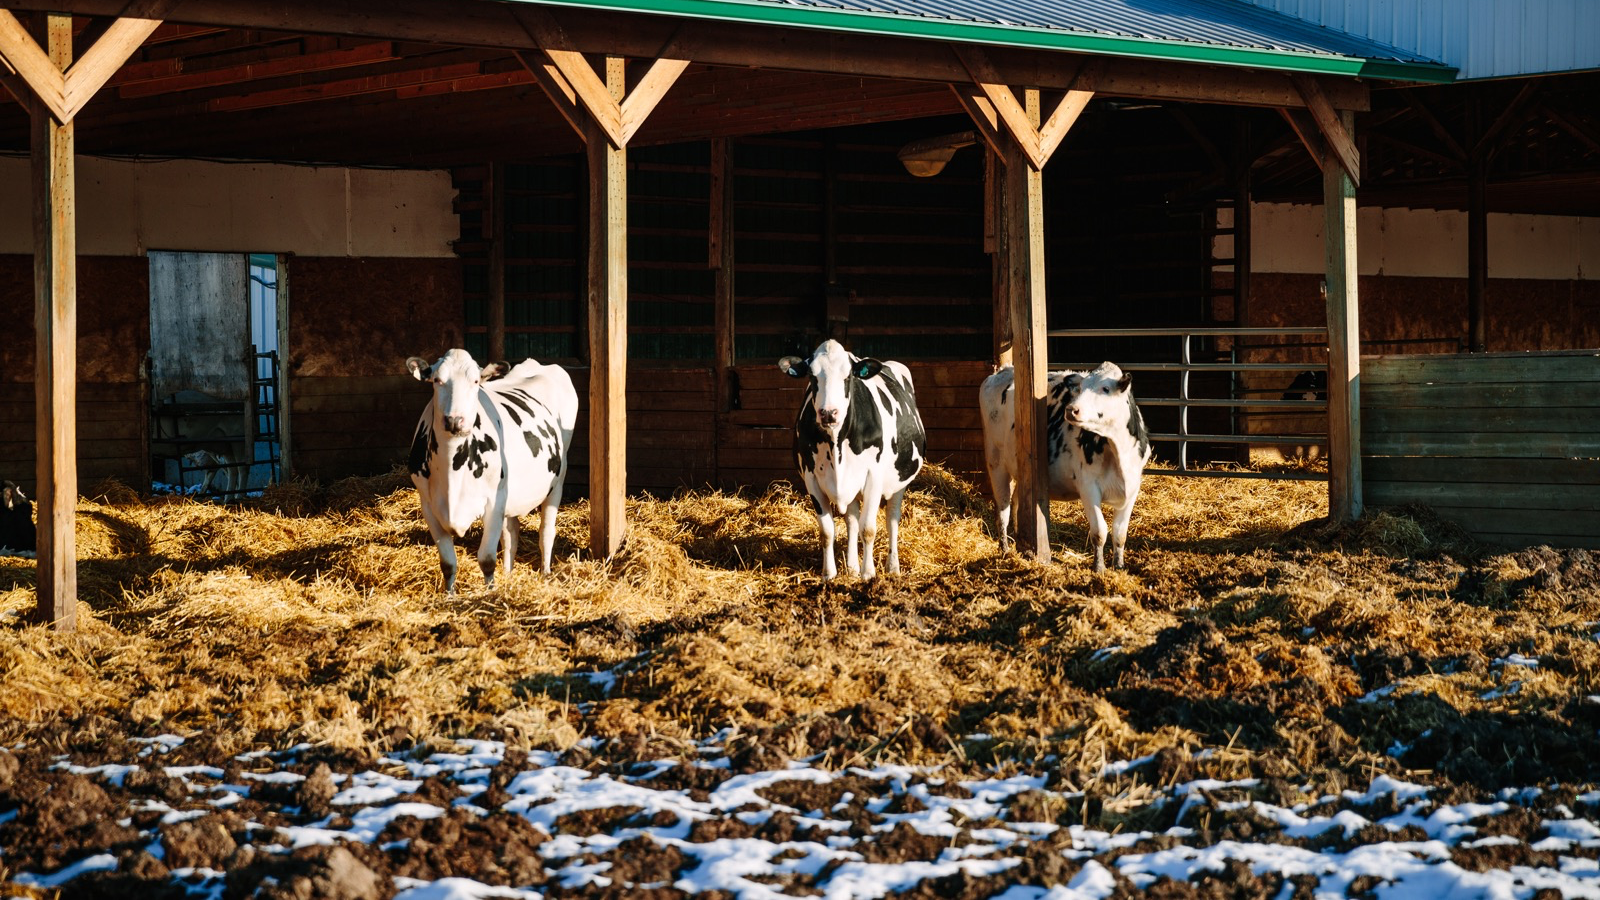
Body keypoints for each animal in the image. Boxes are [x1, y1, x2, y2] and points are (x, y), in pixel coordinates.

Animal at [409, 349, 579, 589]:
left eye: (475, 381)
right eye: (437, 380)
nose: (455, 420)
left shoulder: (494, 502)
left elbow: (487, 559)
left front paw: (490, 592)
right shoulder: (429, 506)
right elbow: (448, 564)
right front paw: (449, 594)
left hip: (557, 481)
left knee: (546, 531)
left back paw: (545, 573)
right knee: (511, 534)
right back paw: (508, 573)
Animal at [777, 339, 928, 576]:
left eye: (848, 376)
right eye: (811, 376)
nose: (829, 413)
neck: (836, 442)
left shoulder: (874, 476)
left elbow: (868, 529)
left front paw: (869, 573)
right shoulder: (811, 478)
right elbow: (828, 531)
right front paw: (829, 574)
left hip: (899, 480)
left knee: (892, 519)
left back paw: (892, 567)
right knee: (852, 520)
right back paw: (852, 566)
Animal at [972, 358, 1152, 563]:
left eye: (1106, 388)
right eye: (1080, 387)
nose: (1072, 410)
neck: (1119, 454)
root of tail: (1003, 371)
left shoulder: (1133, 487)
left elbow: (1120, 534)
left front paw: (1119, 565)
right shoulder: (1088, 486)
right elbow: (1099, 531)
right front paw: (1099, 567)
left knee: (1018, 501)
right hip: (996, 462)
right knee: (1003, 510)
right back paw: (1005, 549)